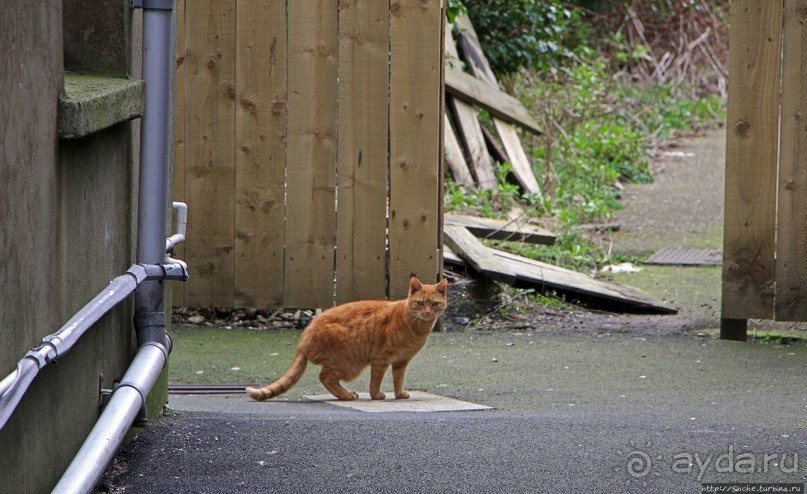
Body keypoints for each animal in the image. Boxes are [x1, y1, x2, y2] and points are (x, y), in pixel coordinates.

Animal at [246, 278, 448, 402]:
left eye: (434, 304)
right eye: (420, 303)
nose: (427, 312)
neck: (416, 326)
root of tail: (304, 337)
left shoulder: (401, 362)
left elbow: (398, 380)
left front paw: (399, 394)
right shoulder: (380, 359)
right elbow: (376, 380)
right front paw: (376, 395)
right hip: (349, 363)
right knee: (325, 377)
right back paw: (346, 395)